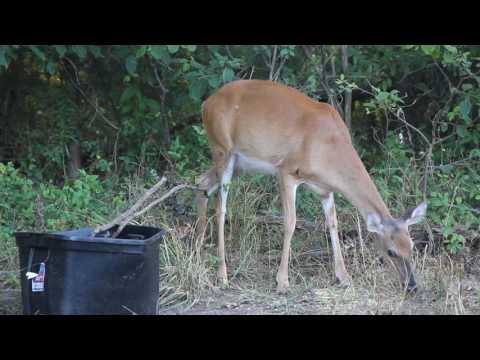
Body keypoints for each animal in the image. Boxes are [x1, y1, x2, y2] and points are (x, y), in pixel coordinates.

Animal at [195, 78, 428, 292]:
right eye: (391, 251)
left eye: (412, 246)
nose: (412, 286)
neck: (329, 149)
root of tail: (207, 103)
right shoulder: (287, 170)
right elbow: (290, 222)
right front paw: (282, 282)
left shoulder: (325, 189)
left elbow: (333, 223)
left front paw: (344, 277)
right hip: (222, 149)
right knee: (221, 207)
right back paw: (222, 275)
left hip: (240, 164)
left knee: (202, 182)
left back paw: (198, 249)